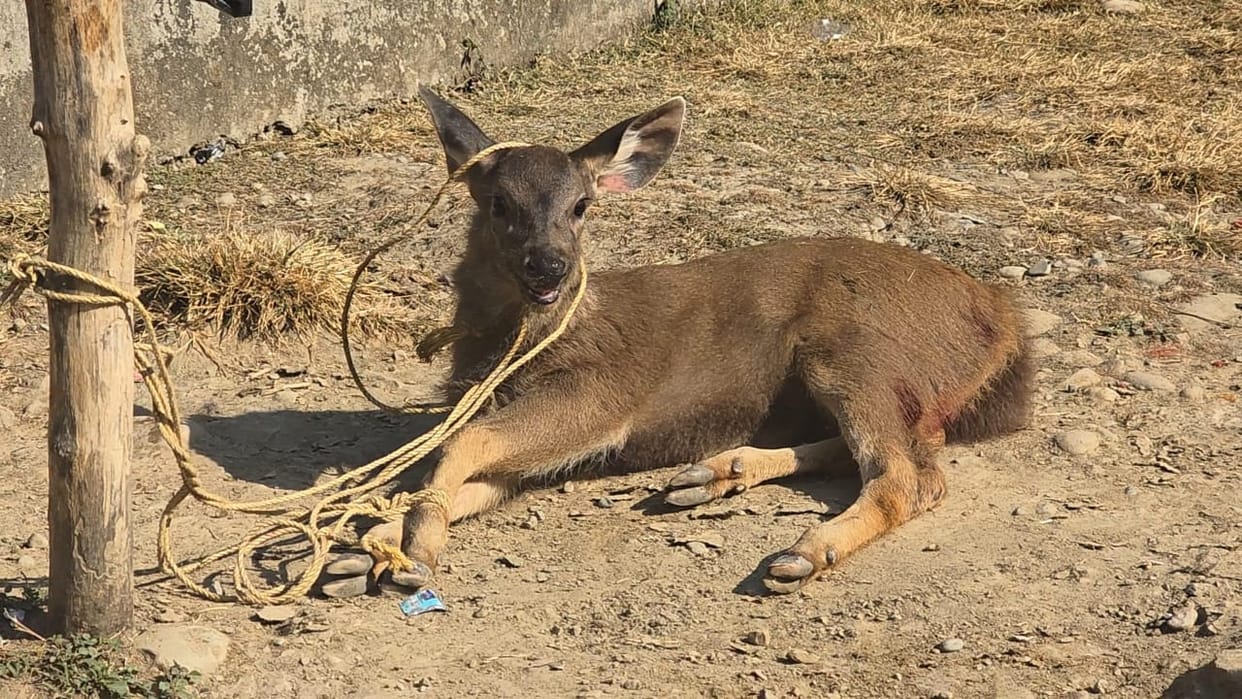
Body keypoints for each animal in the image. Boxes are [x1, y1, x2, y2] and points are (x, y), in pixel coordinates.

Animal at [318, 86, 1036, 599]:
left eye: (581, 206)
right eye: (498, 203)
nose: (549, 267)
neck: (514, 353)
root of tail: (1001, 318)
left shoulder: (600, 395)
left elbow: (462, 443)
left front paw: (412, 551)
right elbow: (462, 466)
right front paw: (365, 549)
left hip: (860, 351)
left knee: (910, 477)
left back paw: (799, 554)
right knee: (875, 451)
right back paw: (716, 473)